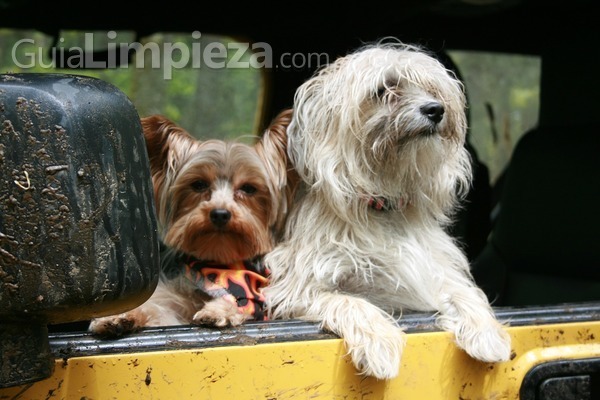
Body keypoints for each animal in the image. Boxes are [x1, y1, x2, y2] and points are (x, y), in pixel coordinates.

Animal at [264, 41, 512, 382]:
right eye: (384, 89)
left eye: (432, 89)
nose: (436, 109)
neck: (386, 204)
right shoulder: (298, 286)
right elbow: (351, 301)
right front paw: (379, 343)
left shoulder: (430, 272)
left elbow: (463, 291)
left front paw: (487, 333)